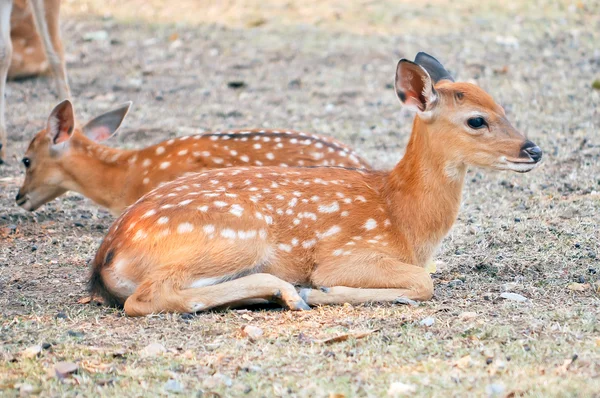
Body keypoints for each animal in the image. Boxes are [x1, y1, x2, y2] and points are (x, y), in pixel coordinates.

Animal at [89, 52, 544, 316]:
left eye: (502, 107)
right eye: (476, 120)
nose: (534, 150)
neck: (404, 218)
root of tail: (106, 257)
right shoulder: (345, 253)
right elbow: (423, 282)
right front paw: (325, 290)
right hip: (235, 233)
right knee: (145, 298)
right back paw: (291, 292)